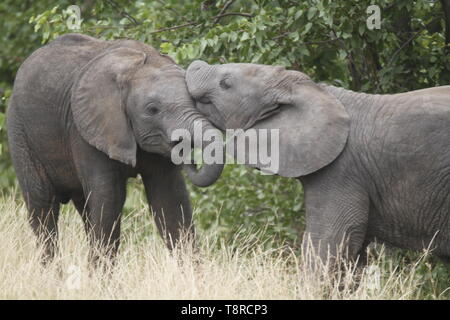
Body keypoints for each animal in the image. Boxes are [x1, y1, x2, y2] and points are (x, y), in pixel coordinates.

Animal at [7, 34, 223, 264]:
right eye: (152, 109)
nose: (186, 151)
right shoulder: (84, 129)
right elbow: (109, 197)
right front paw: (98, 274)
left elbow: (170, 199)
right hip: (19, 132)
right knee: (43, 204)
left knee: (84, 207)